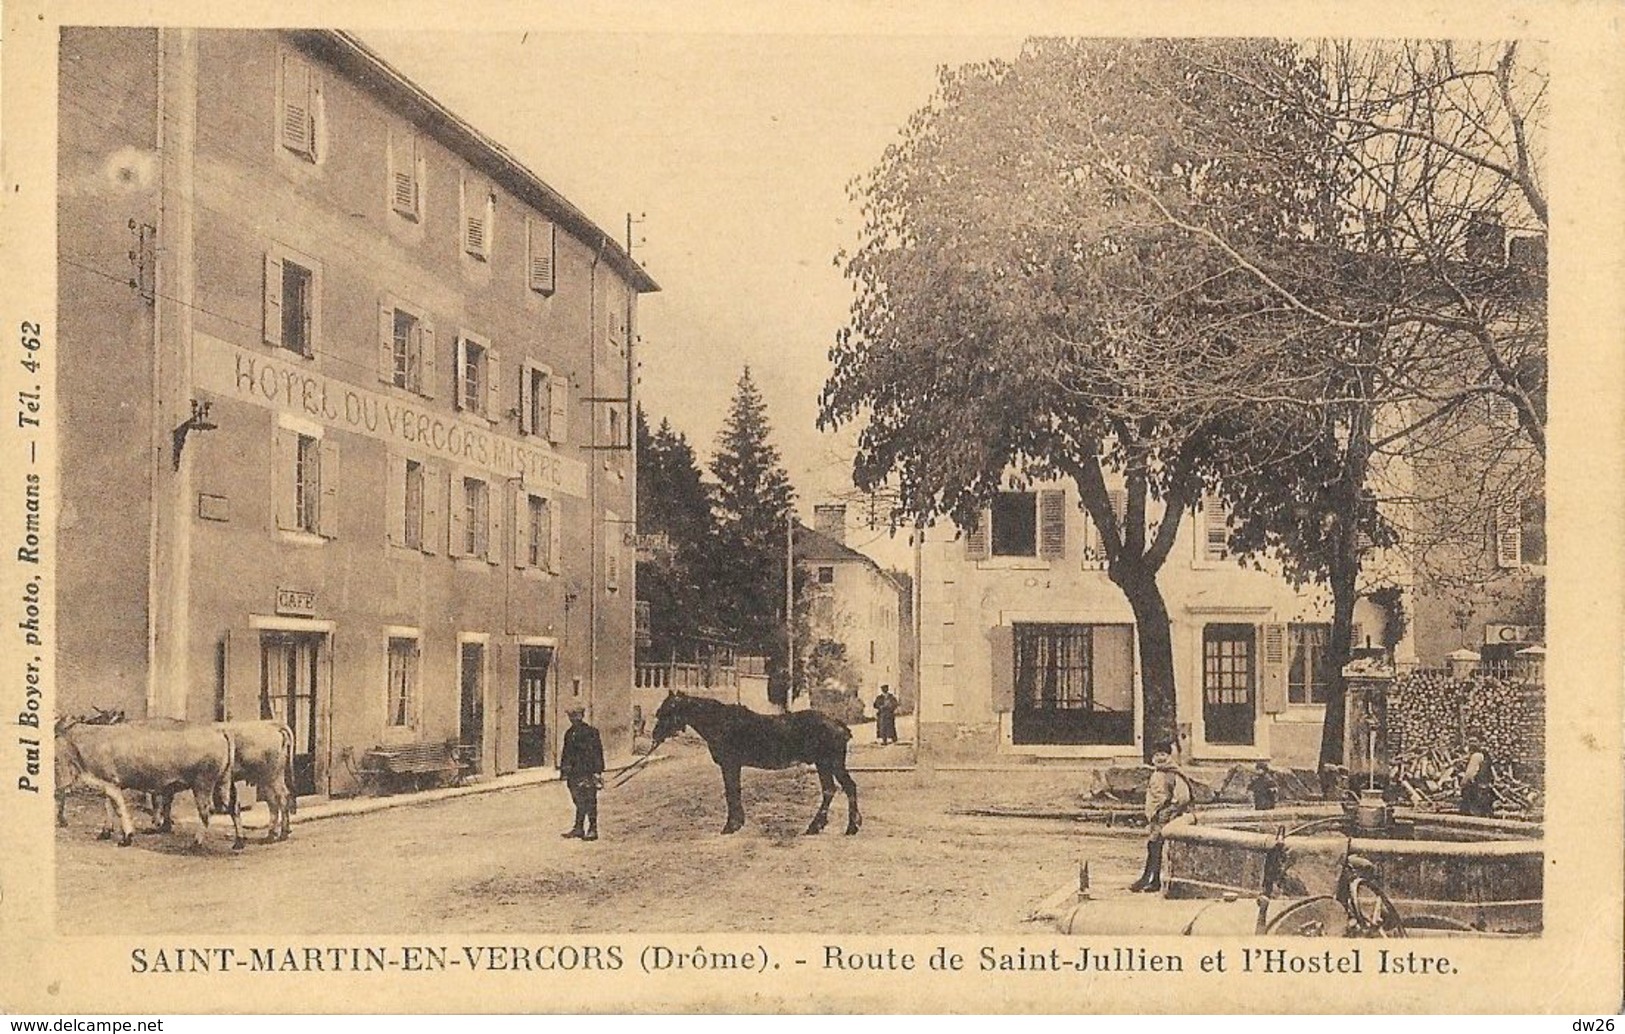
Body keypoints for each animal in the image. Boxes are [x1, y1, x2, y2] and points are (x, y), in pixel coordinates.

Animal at [650, 689, 864, 838]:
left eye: (667, 712)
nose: (655, 736)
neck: (719, 721)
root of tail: (840, 725)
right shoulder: (732, 765)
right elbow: (734, 791)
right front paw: (737, 823)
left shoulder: (730, 764)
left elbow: (732, 792)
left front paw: (731, 825)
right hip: (825, 765)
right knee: (835, 789)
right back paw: (826, 826)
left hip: (829, 763)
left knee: (842, 788)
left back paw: (846, 826)